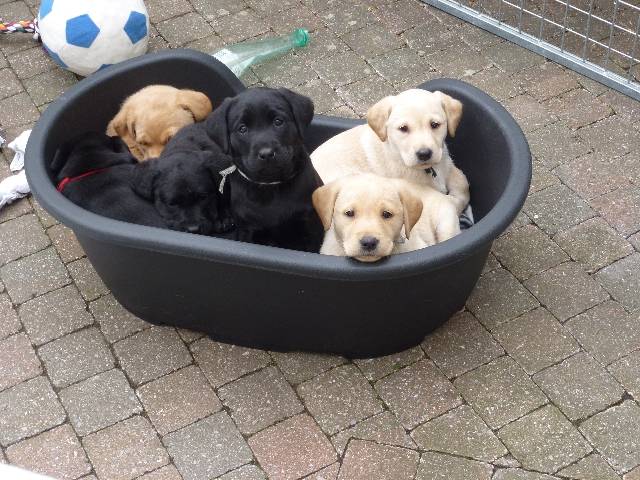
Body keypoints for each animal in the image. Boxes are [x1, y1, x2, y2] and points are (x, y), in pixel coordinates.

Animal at [205, 87, 324, 252]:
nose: (267, 153)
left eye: (278, 121)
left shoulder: (309, 225)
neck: (271, 186)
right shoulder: (248, 230)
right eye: (242, 129)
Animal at [310, 89, 470, 215]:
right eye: (403, 128)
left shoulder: (446, 163)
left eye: (435, 124)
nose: (424, 154)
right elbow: (446, 201)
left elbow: (463, 182)